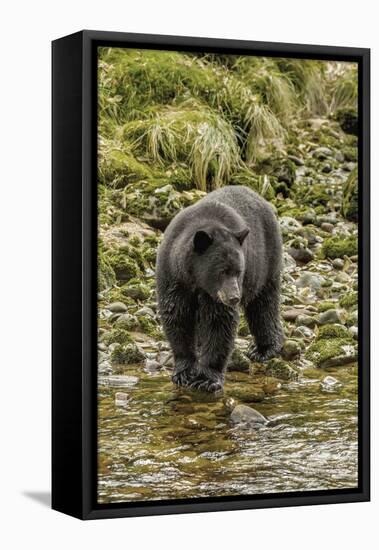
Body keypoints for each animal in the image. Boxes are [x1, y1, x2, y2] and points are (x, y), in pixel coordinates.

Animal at [156, 185, 284, 392]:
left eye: (239, 271)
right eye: (222, 271)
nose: (234, 298)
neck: (196, 280)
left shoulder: (216, 295)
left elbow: (219, 322)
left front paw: (206, 379)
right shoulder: (174, 277)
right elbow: (177, 316)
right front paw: (183, 372)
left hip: (266, 262)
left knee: (264, 305)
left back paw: (264, 349)